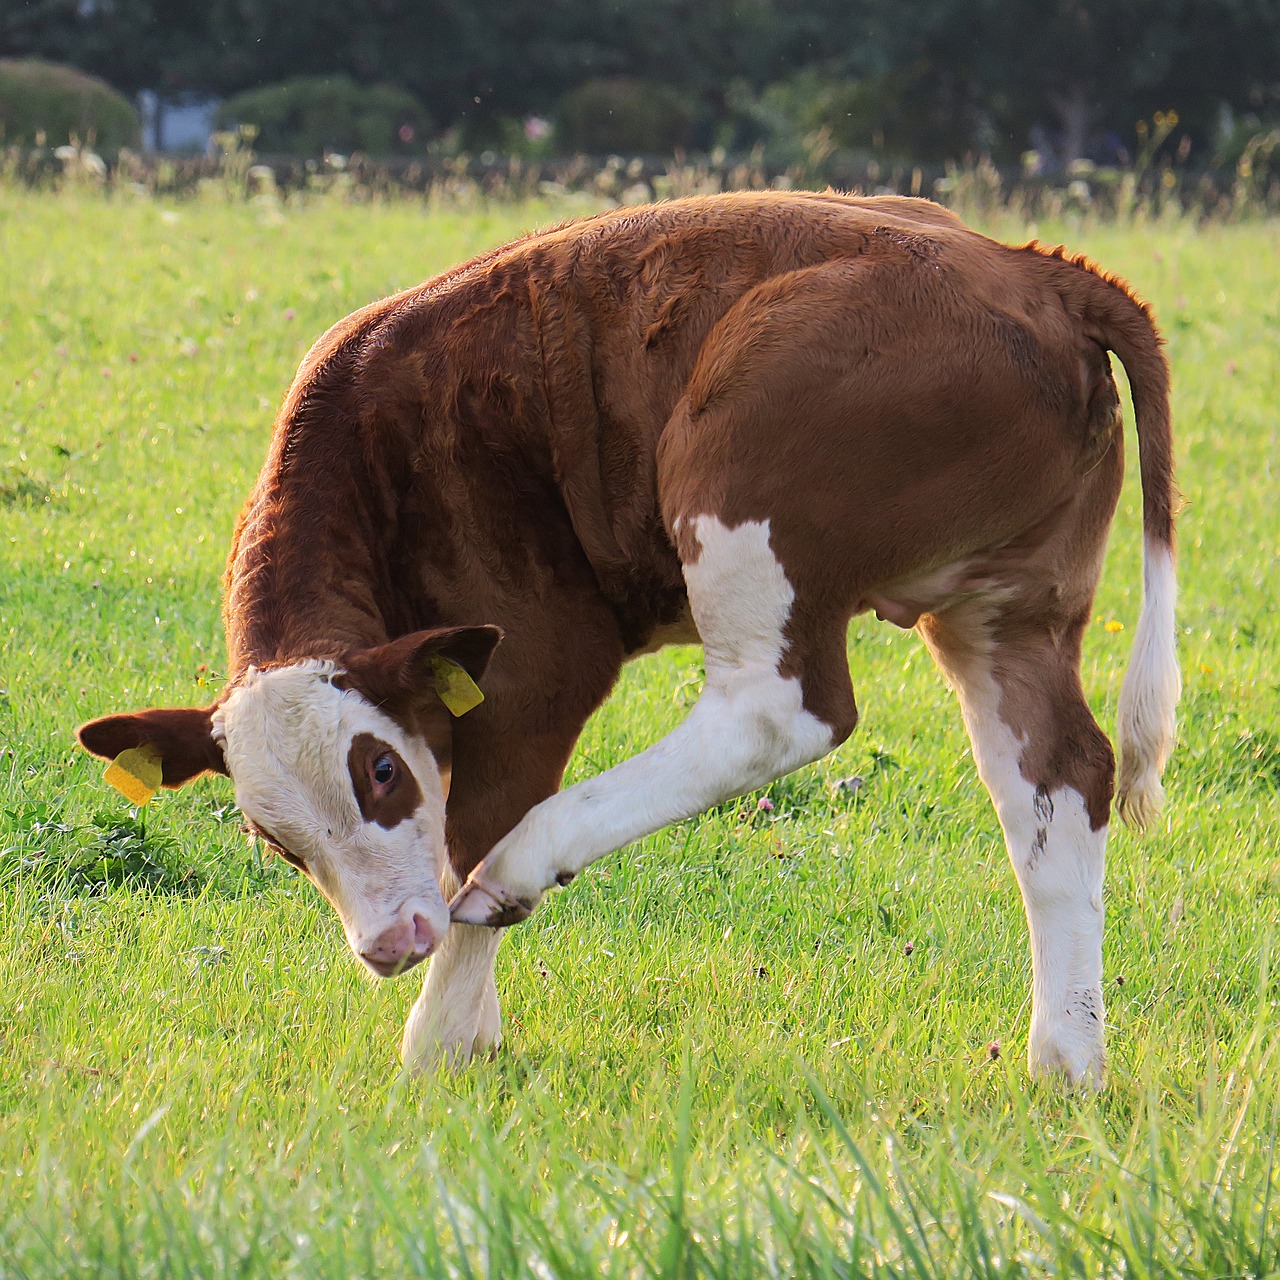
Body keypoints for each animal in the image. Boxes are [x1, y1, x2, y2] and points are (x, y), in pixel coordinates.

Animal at [77, 192, 1177, 1090]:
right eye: (269, 835)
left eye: (379, 770)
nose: (389, 944)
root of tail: (1028, 265)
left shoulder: (531, 666)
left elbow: (470, 834)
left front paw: (443, 1045)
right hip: (1005, 606)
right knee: (1057, 777)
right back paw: (1066, 1059)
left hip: (740, 473)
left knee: (774, 714)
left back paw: (526, 867)